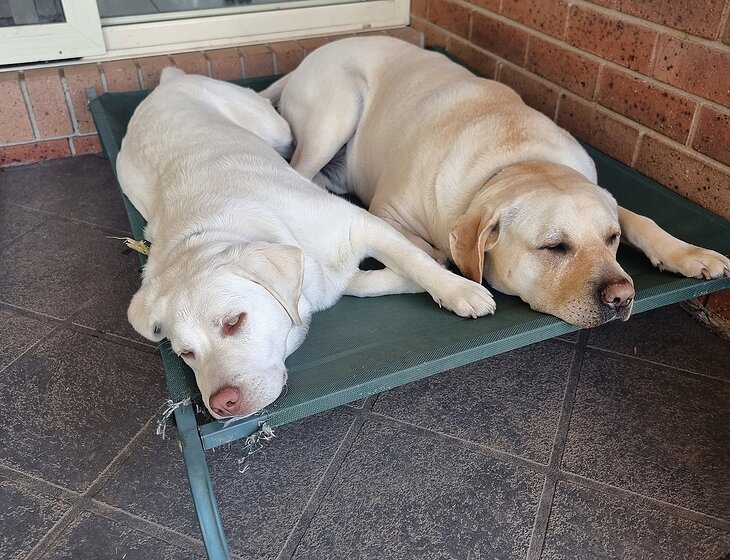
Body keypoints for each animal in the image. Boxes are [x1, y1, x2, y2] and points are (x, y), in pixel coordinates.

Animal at [116, 68, 495, 418]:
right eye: (186, 353)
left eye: (234, 322)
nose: (221, 404)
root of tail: (167, 81)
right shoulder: (329, 276)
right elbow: (376, 281)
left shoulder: (361, 224)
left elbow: (414, 260)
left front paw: (459, 289)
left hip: (275, 128)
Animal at [263, 37, 730, 328]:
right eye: (554, 247)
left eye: (611, 239)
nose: (622, 296)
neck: (517, 158)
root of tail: (309, 59)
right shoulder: (388, 210)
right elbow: (429, 249)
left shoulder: (607, 196)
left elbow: (643, 220)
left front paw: (690, 253)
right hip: (338, 108)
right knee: (300, 171)